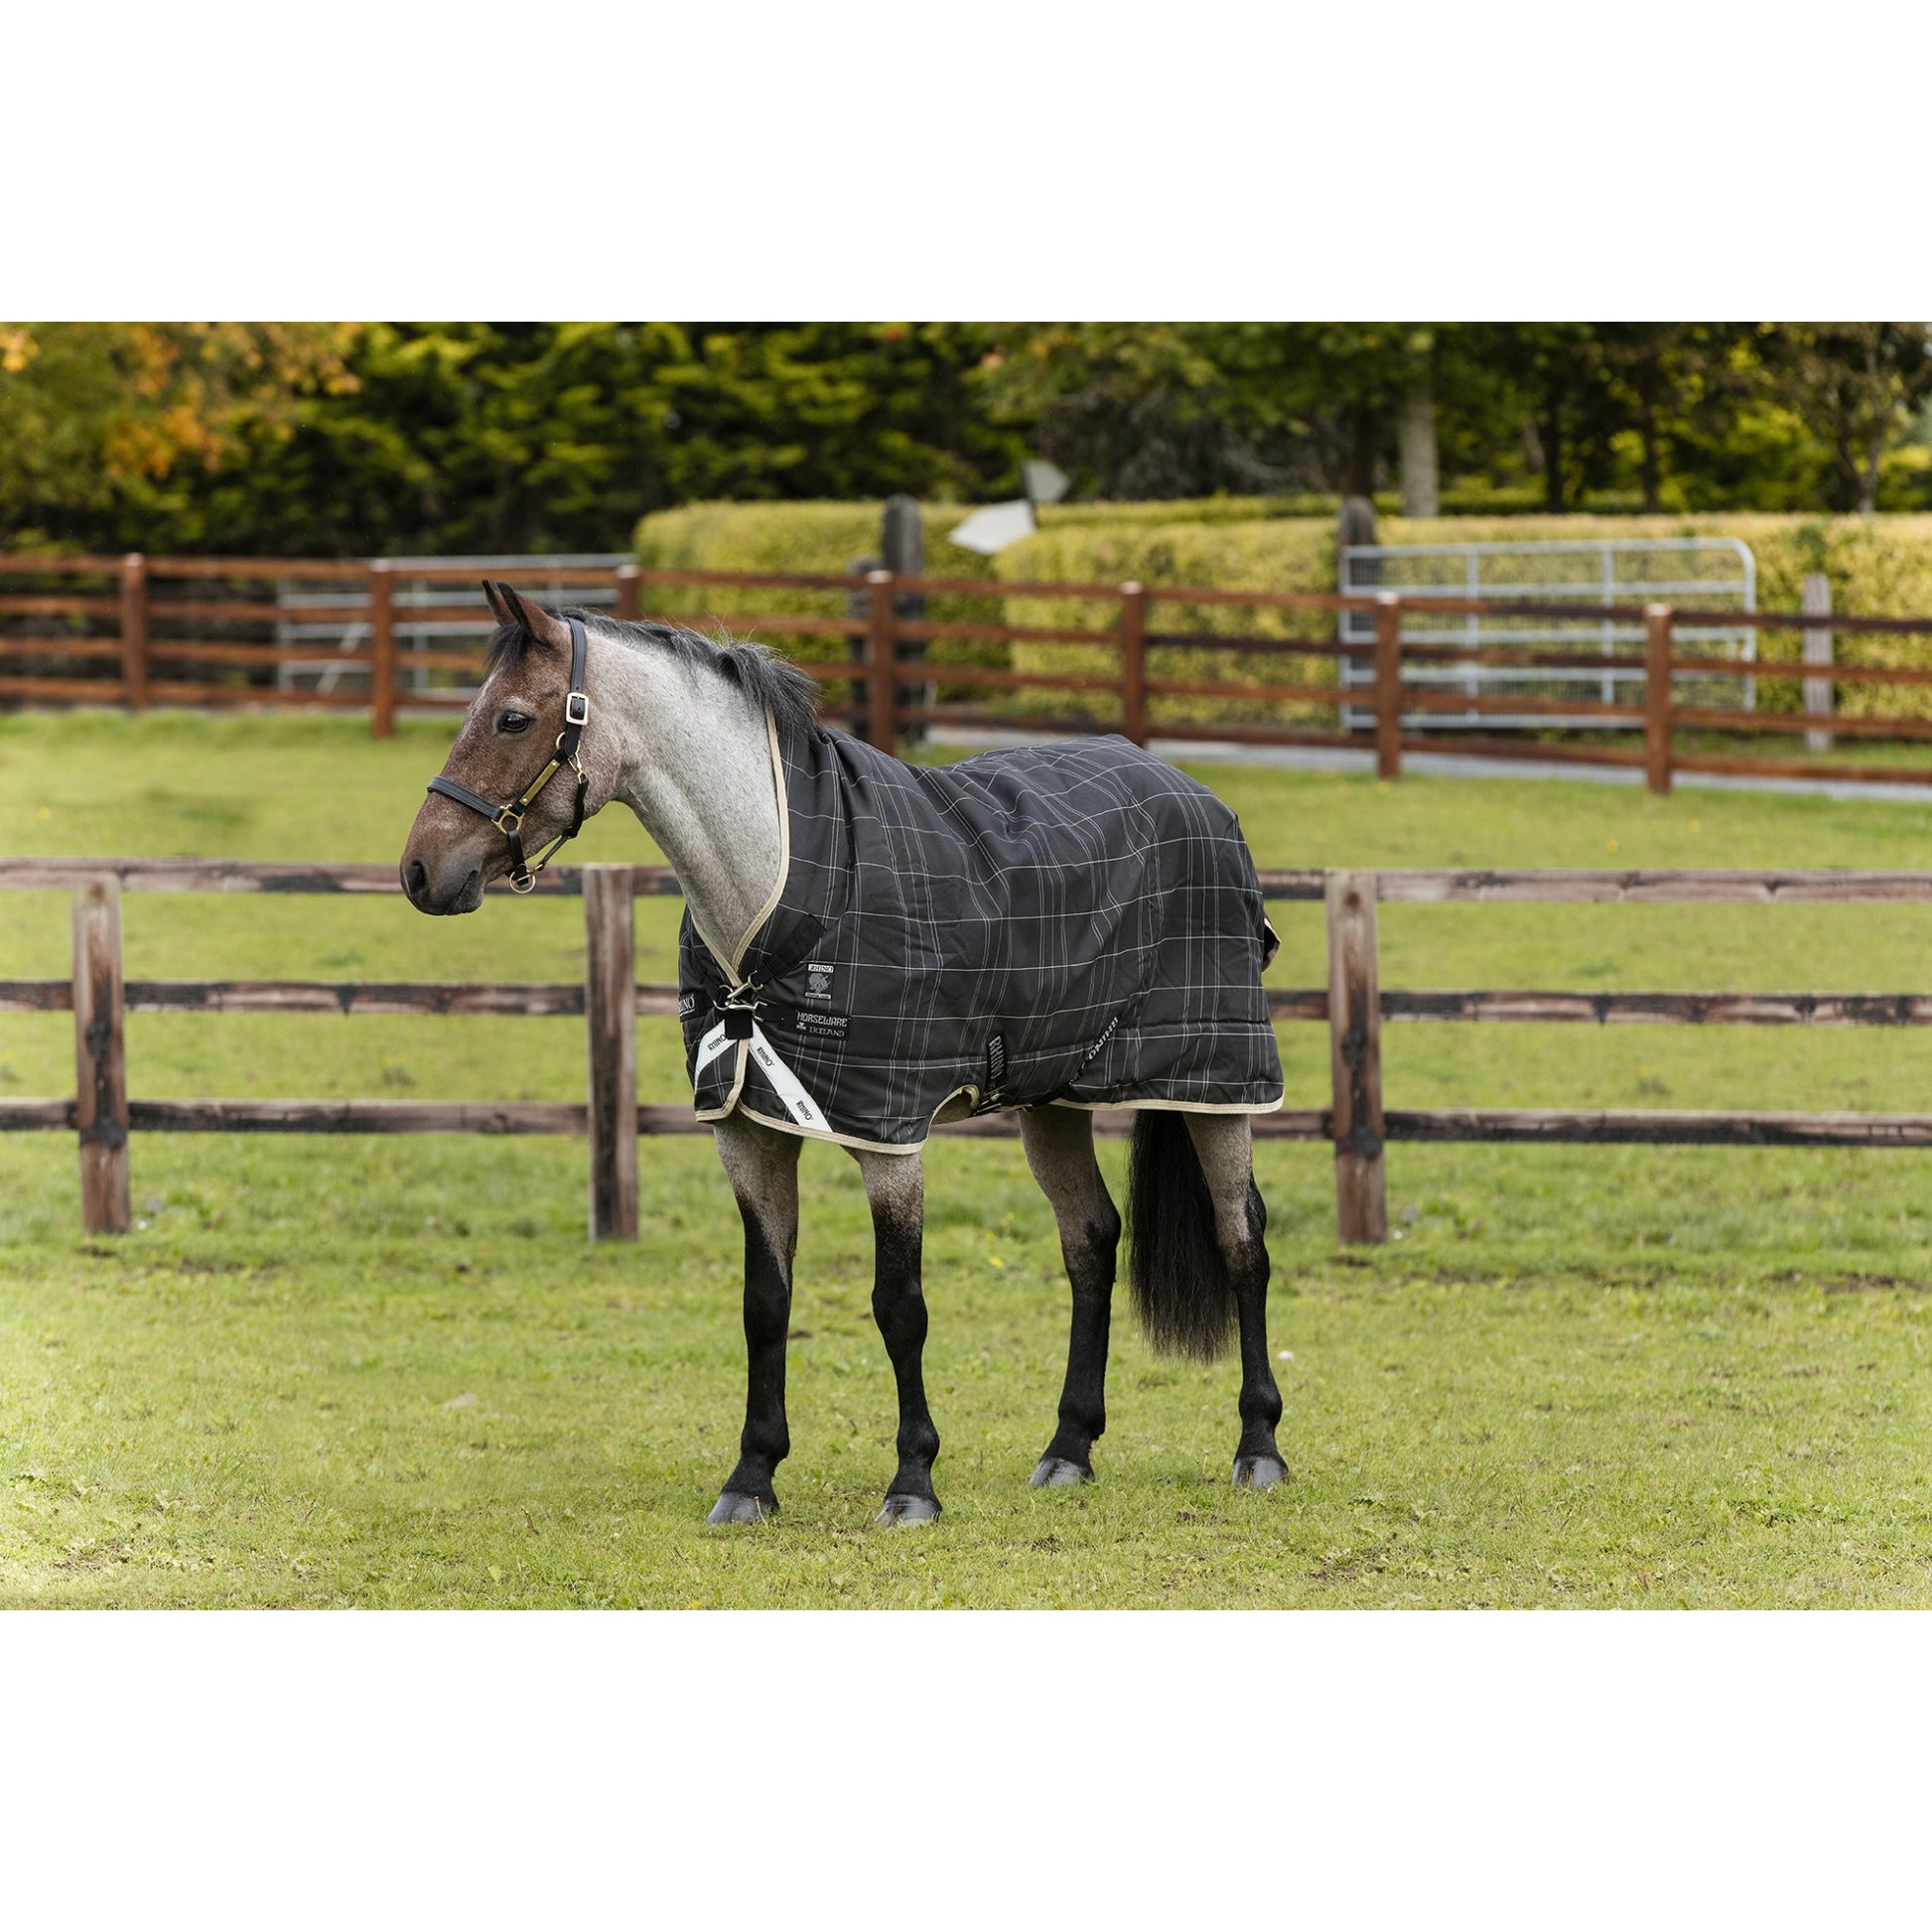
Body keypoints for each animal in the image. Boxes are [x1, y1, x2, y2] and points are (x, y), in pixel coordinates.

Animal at [400, 583, 1289, 1526]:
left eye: (511, 718)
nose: (420, 870)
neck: (779, 890)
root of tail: (1193, 792)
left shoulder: (887, 1134)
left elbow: (899, 1306)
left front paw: (913, 1484)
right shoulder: (747, 1133)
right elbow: (765, 1302)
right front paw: (751, 1477)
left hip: (1218, 1084)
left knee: (1242, 1240)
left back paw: (1259, 1447)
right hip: (1053, 1098)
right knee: (1090, 1241)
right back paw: (1068, 1448)